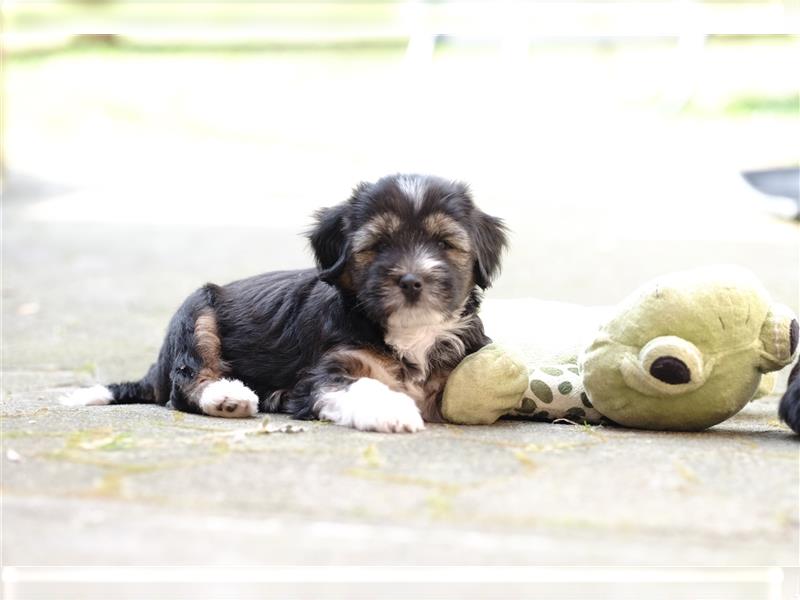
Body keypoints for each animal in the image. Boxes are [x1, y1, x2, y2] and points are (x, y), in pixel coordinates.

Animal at [65, 173, 510, 432]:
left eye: (444, 244)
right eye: (379, 245)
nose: (412, 280)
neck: (410, 332)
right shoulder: (325, 371)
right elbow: (362, 384)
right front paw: (393, 411)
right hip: (196, 313)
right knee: (185, 382)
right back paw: (229, 397)